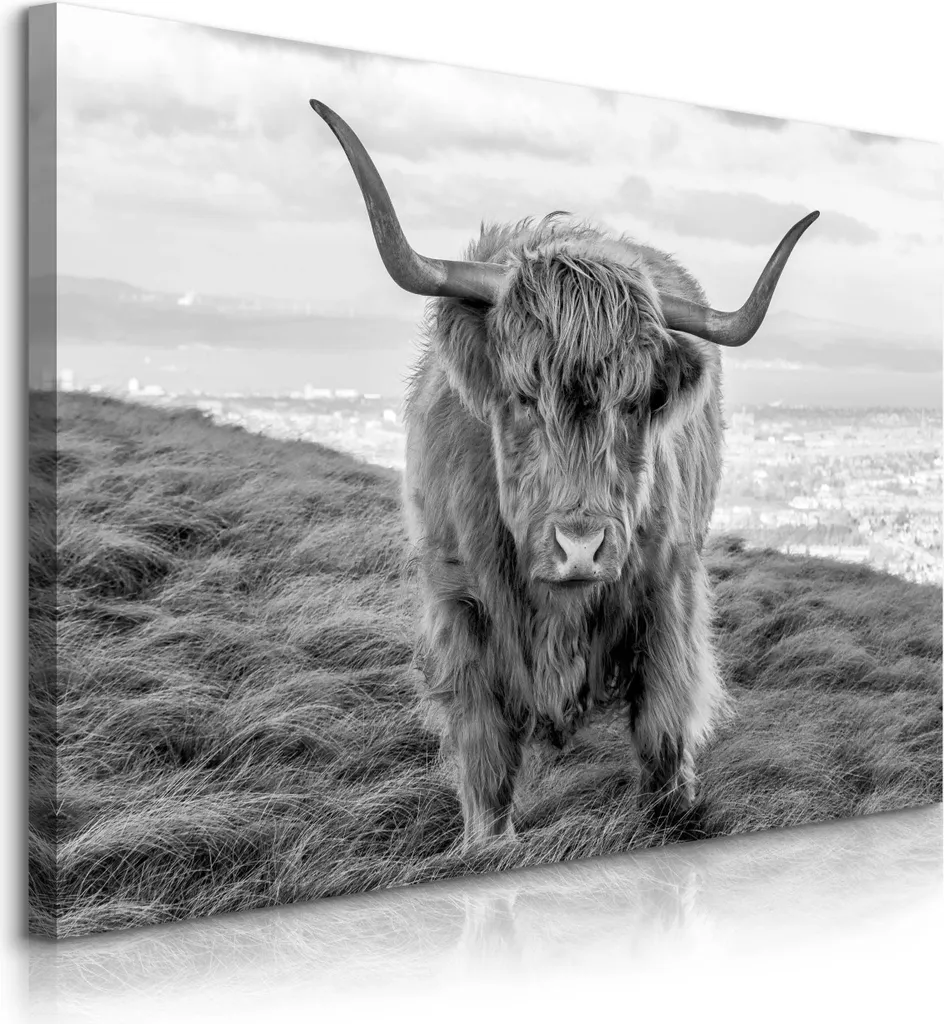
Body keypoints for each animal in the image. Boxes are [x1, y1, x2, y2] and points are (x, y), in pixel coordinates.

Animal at [309, 100, 819, 849]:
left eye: (638, 402)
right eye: (523, 395)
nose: (582, 547)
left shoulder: (668, 588)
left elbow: (663, 728)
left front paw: (675, 813)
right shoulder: (457, 603)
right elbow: (485, 747)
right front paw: (489, 843)